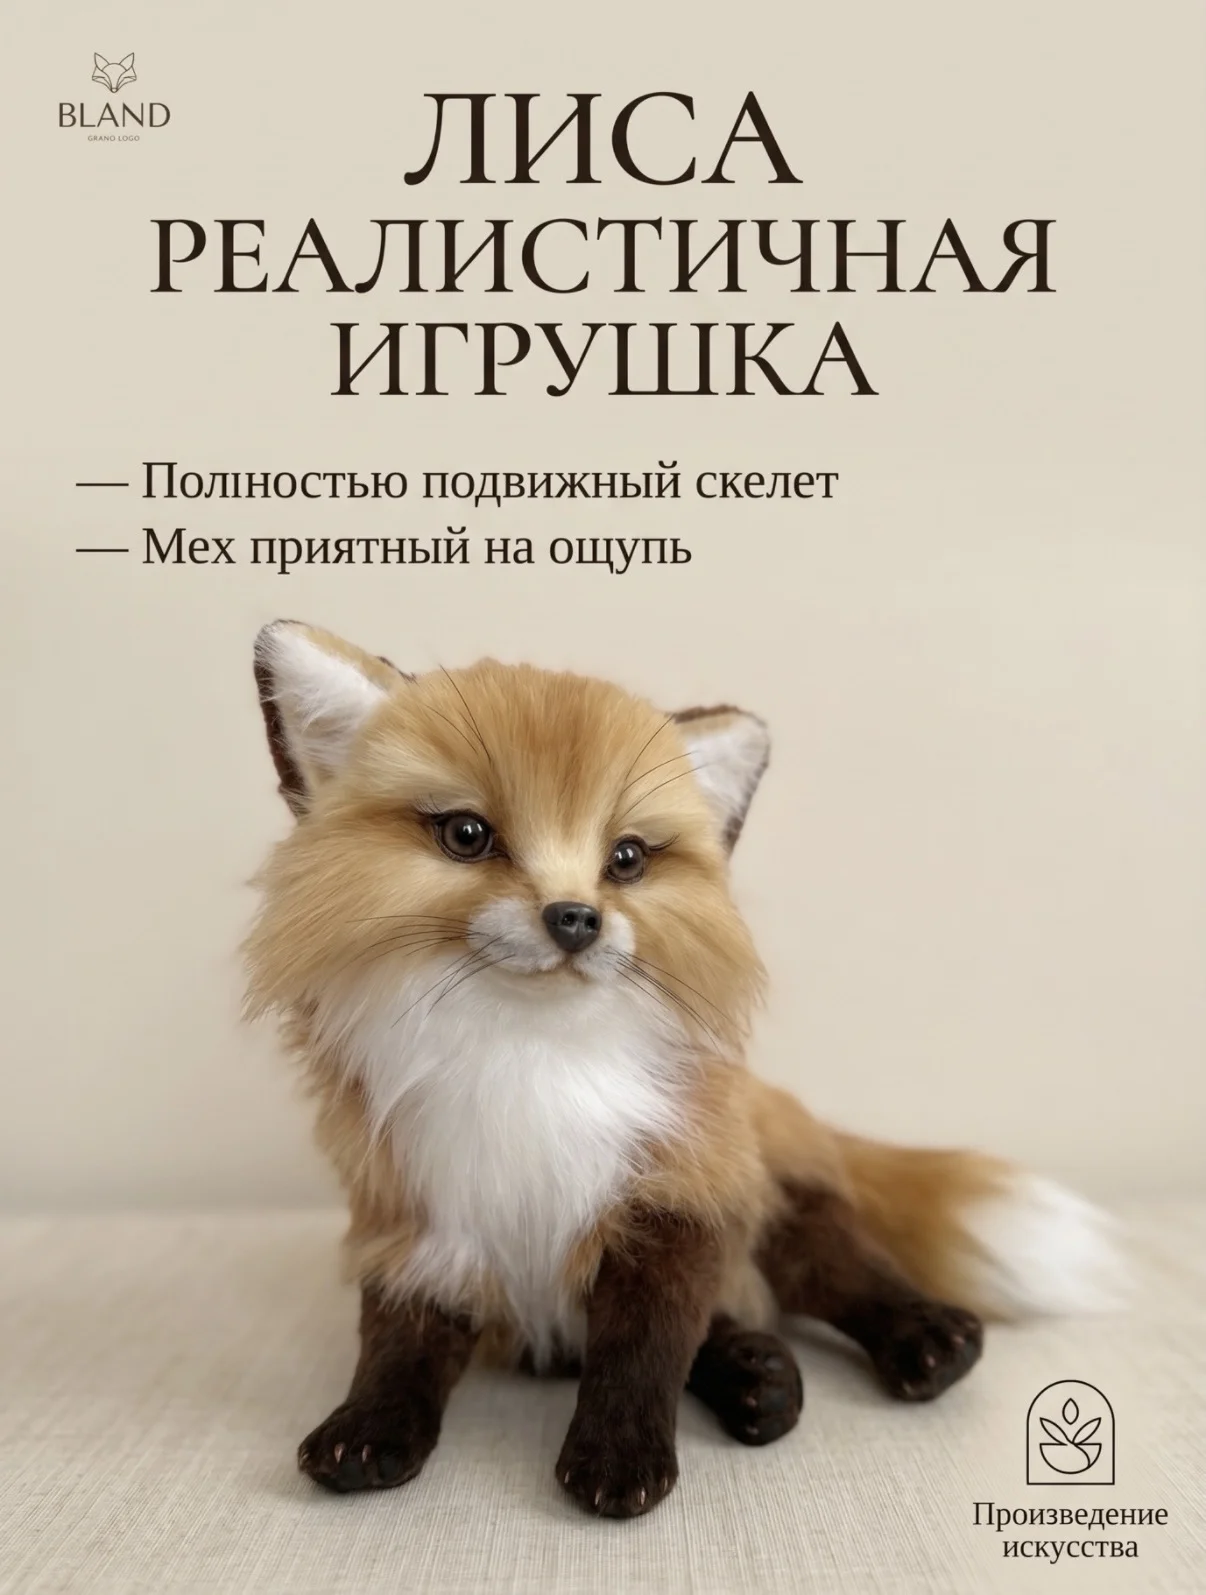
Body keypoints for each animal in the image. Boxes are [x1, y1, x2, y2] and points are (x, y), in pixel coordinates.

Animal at [244, 619, 1123, 1517]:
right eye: (466, 835)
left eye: (627, 857)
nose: (575, 918)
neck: (527, 1067)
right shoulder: (418, 1217)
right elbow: (397, 1345)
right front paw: (368, 1427)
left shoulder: (673, 1200)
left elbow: (644, 1347)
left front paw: (620, 1456)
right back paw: (757, 1376)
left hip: (777, 1208)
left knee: (838, 1270)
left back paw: (916, 1340)